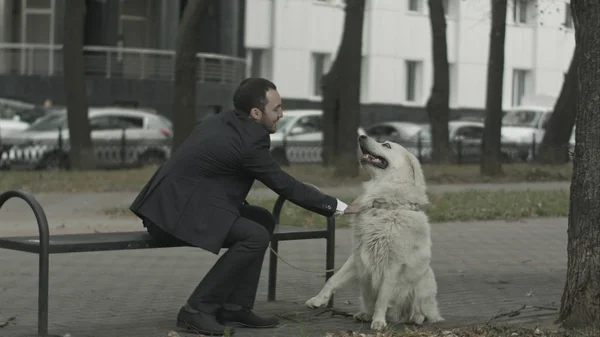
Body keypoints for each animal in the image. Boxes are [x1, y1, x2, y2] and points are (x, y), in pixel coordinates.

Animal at [308, 133, 442, 328]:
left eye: (386, 145)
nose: (361, 136)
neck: (385, 206)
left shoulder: (392, 265)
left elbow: (383, 296)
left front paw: (379, 322)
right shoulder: (357, 257)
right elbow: (333, 279)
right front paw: (318, 300)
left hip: (424, 282)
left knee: (423, 312)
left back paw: (414, 318)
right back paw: (364, 314)